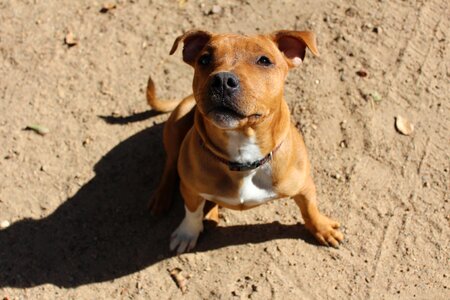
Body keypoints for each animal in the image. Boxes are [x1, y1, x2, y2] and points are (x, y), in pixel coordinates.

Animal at [149, 29, 344, 253]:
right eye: (204, 59)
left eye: (264, 60)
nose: (222, 79)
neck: (243, 154)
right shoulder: (190, 189)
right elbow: (192, 211)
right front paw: (187, 232)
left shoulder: (304, 186)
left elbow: (310, 209)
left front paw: (322, 228)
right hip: (177, 123)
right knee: (170, 165)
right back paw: (162, 198)